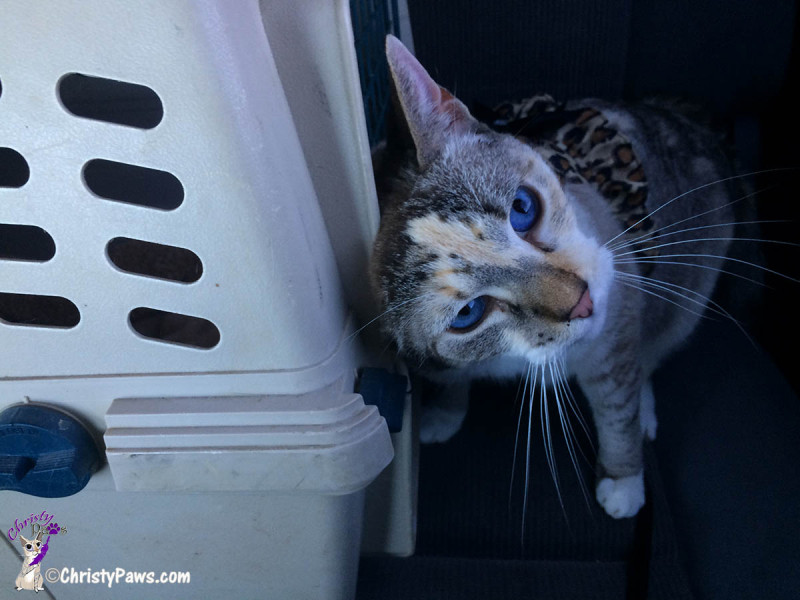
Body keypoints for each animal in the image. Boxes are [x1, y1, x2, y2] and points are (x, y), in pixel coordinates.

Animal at [372, 35, 740, 516]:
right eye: (468, 313)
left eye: (522, 208)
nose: (583, 302)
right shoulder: (438, 359)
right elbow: (452, 377)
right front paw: (444, 414)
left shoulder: (614, 332)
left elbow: (617, 407)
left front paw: (623, 479)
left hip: (687, 297)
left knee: (651, 354)